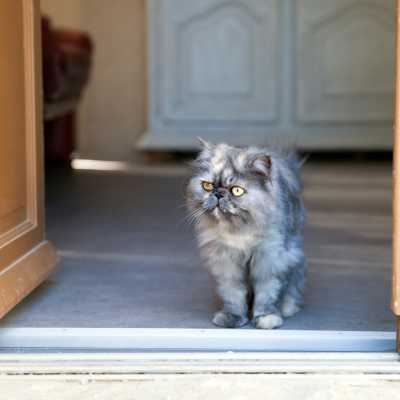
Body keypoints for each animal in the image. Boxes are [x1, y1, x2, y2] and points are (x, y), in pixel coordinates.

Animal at [187, 141, 306, 328]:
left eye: (236, 191)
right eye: (207, 186)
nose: (218, 193)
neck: (239, 232)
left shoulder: (271, 260)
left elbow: (267, 295)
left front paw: (266, 318)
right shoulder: (227, 263)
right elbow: (233, 296)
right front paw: (232, 318)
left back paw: (287, 309)